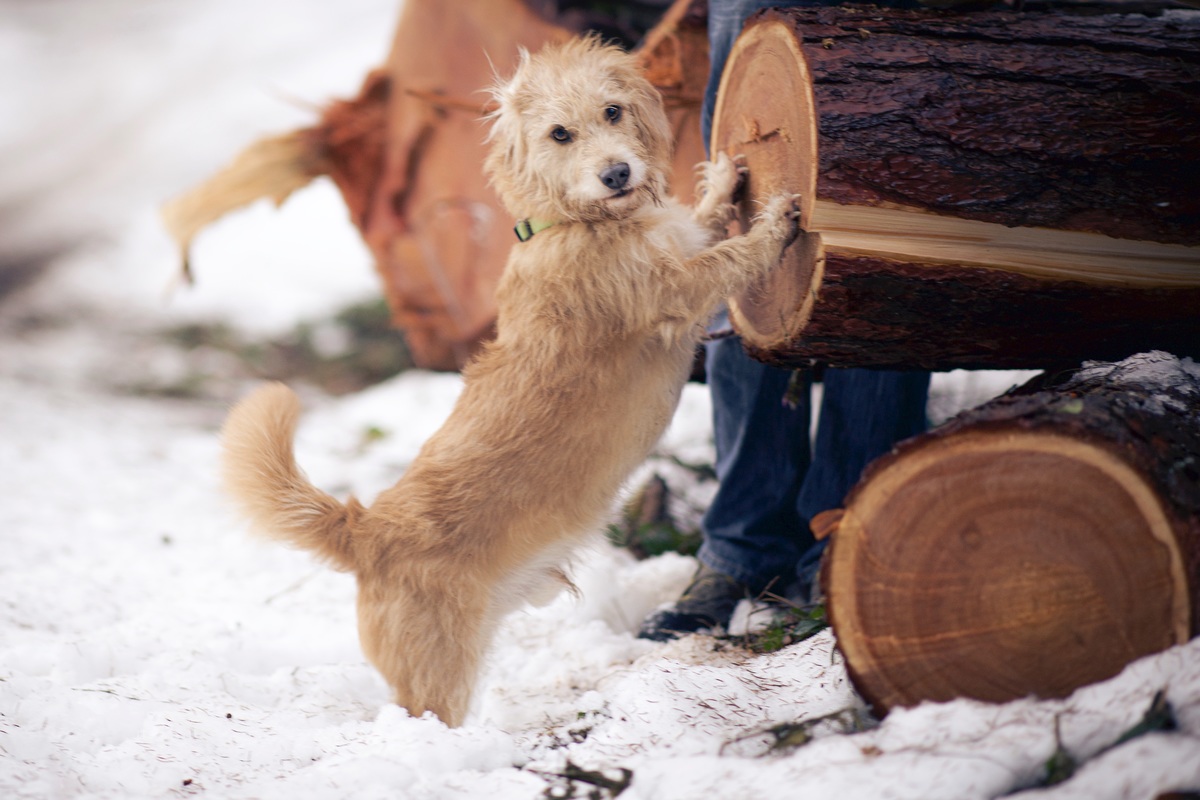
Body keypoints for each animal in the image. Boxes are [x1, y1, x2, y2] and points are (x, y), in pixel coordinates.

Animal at [220, 35, 801, 724]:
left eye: (612, 111)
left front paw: (724, 182)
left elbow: (707, 224)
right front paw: (775, 223)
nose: (617, 174)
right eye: (559, 133)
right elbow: (731, 257)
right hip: (435, 681)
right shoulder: (681, 294)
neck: (577, 222)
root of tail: (363, 530)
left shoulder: (682, 245)